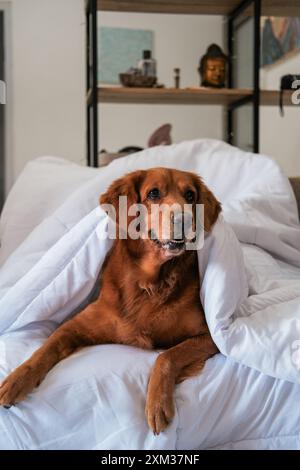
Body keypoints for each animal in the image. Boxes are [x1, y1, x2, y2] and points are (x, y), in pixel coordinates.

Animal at [0, 167, 220, 436]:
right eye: (153, 193)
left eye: (190, 195)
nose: (184, 219)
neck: (150, 284)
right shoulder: (73, 326)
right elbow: (45, 348)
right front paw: (16, 380)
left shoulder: (209, 336)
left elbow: (167, 356)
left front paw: (157, 403)